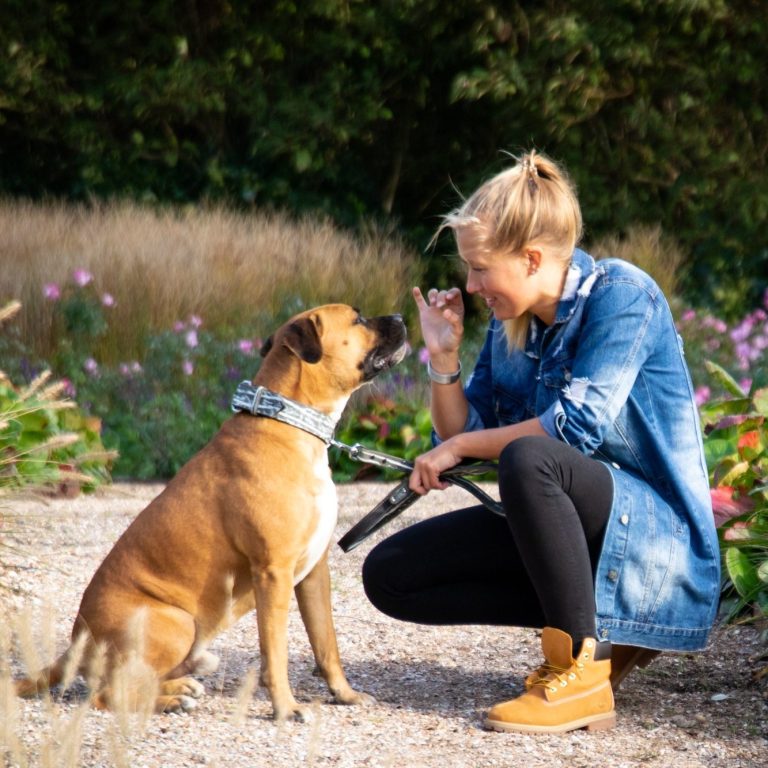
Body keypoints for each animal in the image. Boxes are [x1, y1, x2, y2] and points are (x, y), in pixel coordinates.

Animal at [16, 302, 408, 720]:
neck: (289, 420)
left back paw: (179, 689)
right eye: (358, 319)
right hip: (177, 622)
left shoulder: (313, 573)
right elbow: (276, 652)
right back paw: (171, 701)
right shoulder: (274, 573)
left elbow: (326, 644)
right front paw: (286, 708)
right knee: (109, 694)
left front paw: (345, 694)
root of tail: (75, 643)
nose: (402, 317)